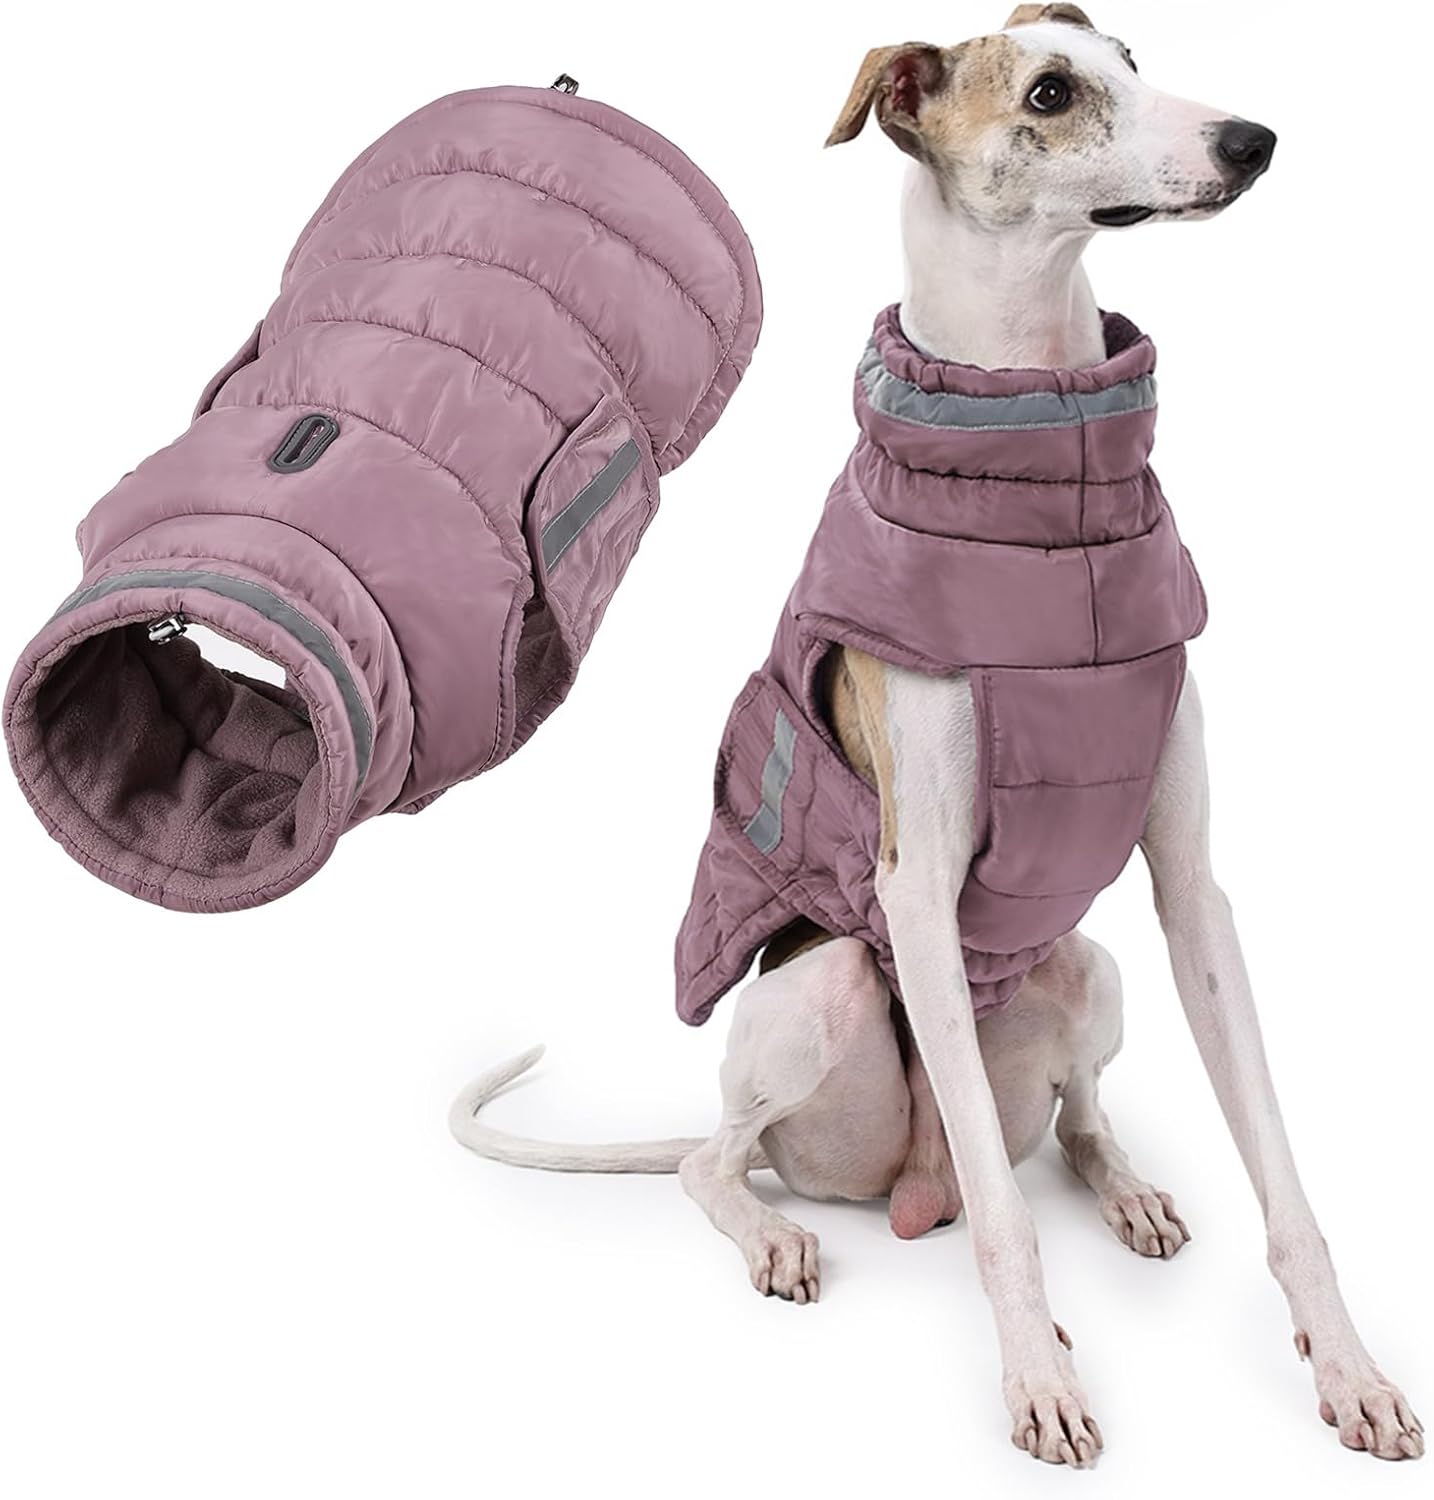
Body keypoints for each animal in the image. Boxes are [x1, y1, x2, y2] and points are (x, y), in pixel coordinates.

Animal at [451, 5, 1423, 1467]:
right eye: (1052, 93)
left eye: (1135, 58)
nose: (1253, 140)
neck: (1044, 480)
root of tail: (891, 1189)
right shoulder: (911, 896)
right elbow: (1010, 1235)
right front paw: (1039, 1381)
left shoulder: (1191, 894)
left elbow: (1281, 1174)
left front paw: (1349, 1369)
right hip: (825, 1004)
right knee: (720, 1157)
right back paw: (775, 1235)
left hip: (1085, 972)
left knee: (1071, 1127)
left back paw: (1129, 1192)